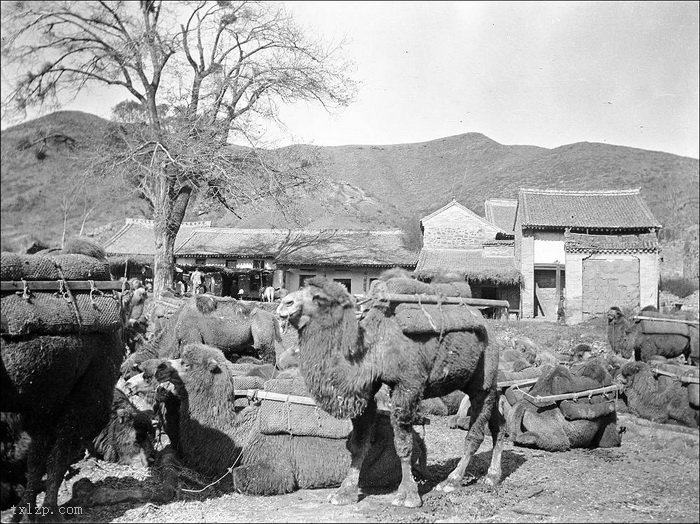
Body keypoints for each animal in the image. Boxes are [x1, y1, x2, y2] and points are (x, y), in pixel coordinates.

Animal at [274, 276, 504, 510]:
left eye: (318, 297)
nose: (285, 303)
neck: (373, 345)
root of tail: (487, 324)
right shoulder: (367, 390)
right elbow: (359, 443)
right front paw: (344, 493)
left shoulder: (408, 385)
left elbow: (403, 442)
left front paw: (407, 496)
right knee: (498, 420)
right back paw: (492, 476)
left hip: (484, 371)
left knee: (476, 429)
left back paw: (452, 481)